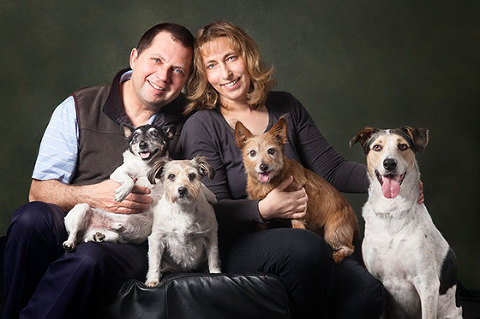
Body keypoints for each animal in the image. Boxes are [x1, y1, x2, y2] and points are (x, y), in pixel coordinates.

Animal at [234, 117, 358, 262]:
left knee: (350, 248)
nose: (263, 166)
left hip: (332, 232)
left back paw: (337, 256)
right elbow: (261, 224)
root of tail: (353, 216)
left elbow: (297, 224)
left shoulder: (298, 208)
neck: (269, 182)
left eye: (271, 151)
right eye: (252, 153)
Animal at [350, 128, 464, 319]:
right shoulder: (378, 283)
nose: (389, 163)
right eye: (377, 147)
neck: (392, 213)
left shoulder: (428, 286)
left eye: (402, 146)